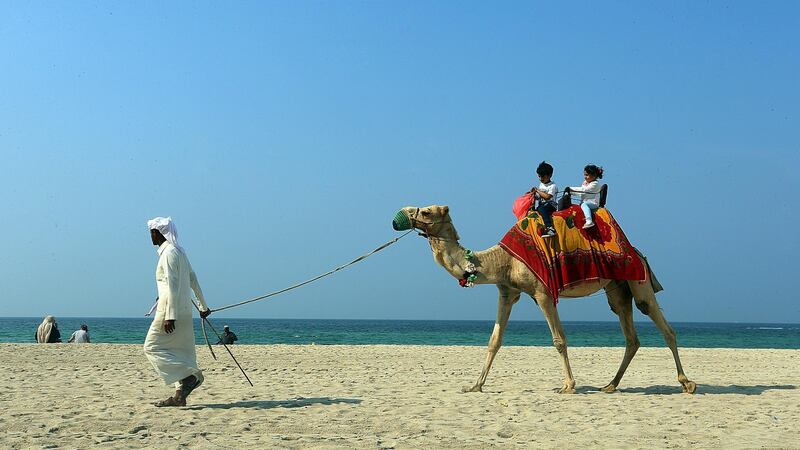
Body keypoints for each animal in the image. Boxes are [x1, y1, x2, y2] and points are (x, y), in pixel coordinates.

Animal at [396, 205, 696, 394]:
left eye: (426, 210)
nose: (401, 214)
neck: (503, 260)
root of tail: (638, 252)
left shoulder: (542, 293)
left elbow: (559, 340)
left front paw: (568, 386)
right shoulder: (507, 292)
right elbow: (494, 341)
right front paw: (475, 385)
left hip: (638, 281)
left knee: (664, 326)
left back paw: (687, 383)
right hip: (617, 289)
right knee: (631, 335)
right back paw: (610, 385)